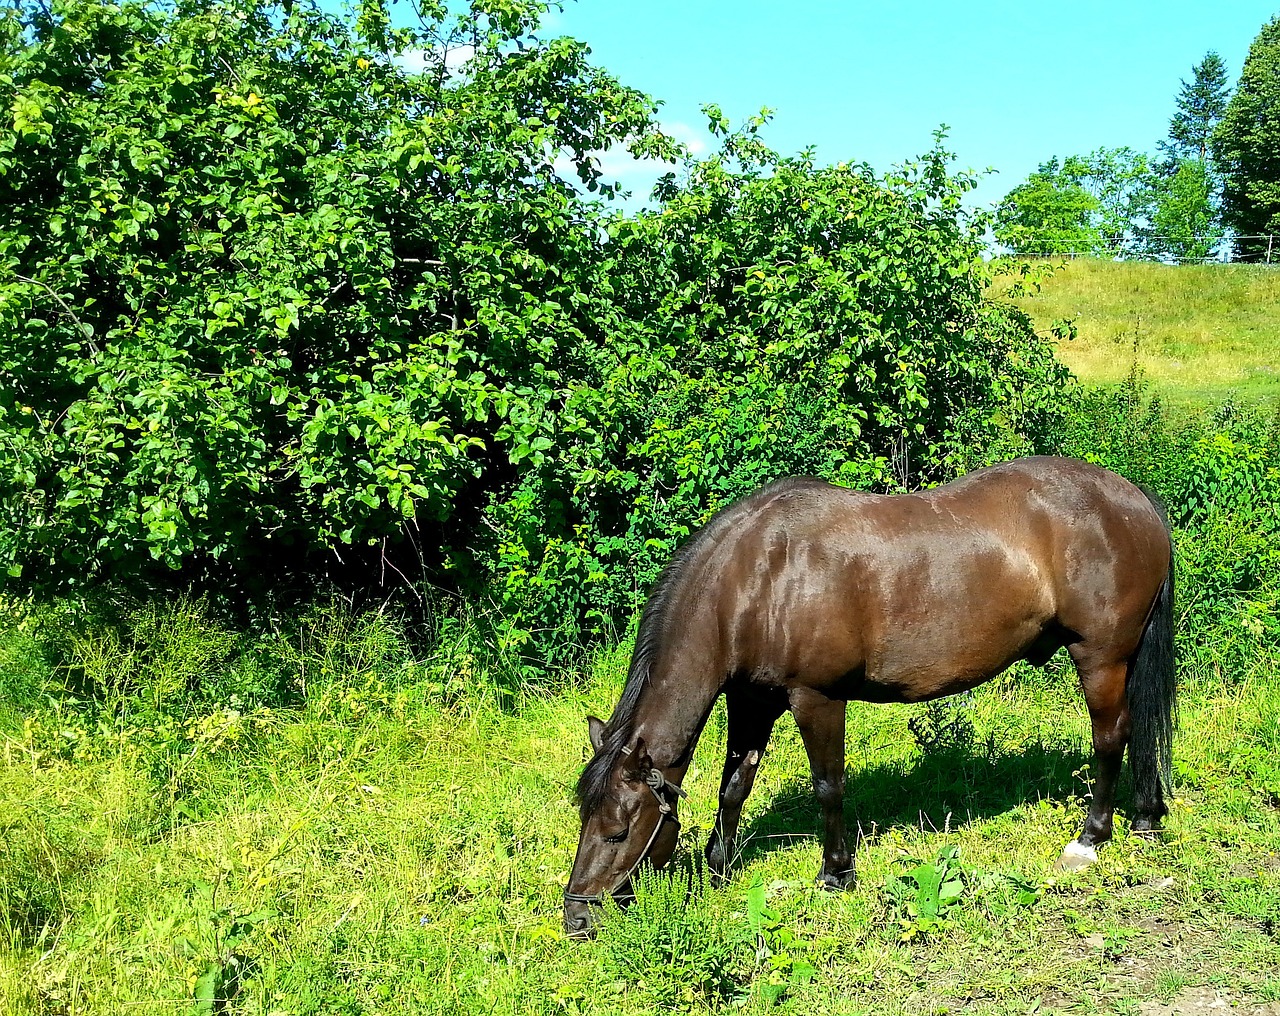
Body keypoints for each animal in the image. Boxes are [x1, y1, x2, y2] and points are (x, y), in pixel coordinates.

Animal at [565, 458, 1172, 936]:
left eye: (618, 832)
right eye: (584, 820)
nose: (576, 919)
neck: (758, 582)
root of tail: (1134, 499)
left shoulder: (816, 698)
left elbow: (828, 787)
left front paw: (835, 874)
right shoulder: (751, 702)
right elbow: (733, 786)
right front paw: (718, 868)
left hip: (1100, 657)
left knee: (1111, 737)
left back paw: (1089, 839)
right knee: (1138, 731)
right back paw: (1146, 818)